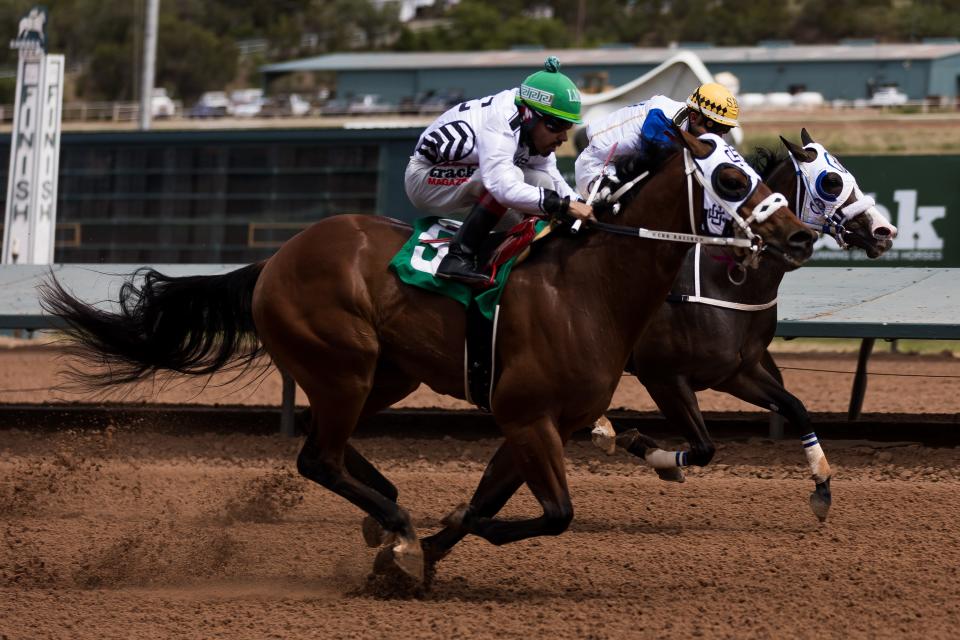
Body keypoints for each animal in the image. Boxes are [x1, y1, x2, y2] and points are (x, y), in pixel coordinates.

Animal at [41, 127, 812, 588]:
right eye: (731, 180)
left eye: (751, 171)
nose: (799, 237)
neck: (588, 287)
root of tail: (273, 260)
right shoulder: (528, 417)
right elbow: (553, 513)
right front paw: (423, 544)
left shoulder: (542, 424)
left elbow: (489, 504)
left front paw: (415, 559)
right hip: (344, 364)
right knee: (317, 457)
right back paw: (392, 515)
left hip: (385, 374)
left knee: (328, 444)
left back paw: (385, 512)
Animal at [596, 127, 896, 524]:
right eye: (831, 181)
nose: (885, 230)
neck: (722, 282)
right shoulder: (663, 377)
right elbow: (704, 448)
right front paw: (651, 453)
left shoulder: (736, 371)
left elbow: (796, 408)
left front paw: (822, 486)